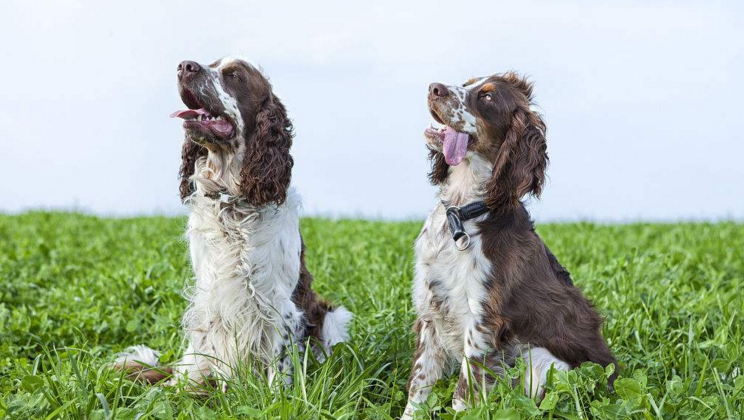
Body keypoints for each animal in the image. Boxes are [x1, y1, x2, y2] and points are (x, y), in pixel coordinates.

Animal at [114, 57, 352, 388]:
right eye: (209, 64)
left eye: (235, 75)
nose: (185, 66)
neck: (233, 202)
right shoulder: (215, 300)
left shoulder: (281, 305)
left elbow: (279, 367)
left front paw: (276, 397)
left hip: (332, 317)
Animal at [402, 74, 616, 418]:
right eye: (467, 83)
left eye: (488, 98)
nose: (434, 87)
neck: (462, 212)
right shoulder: (430, 309)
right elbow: (419, 385)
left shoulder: (483, 321)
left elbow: (463, 394)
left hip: (542, 359)